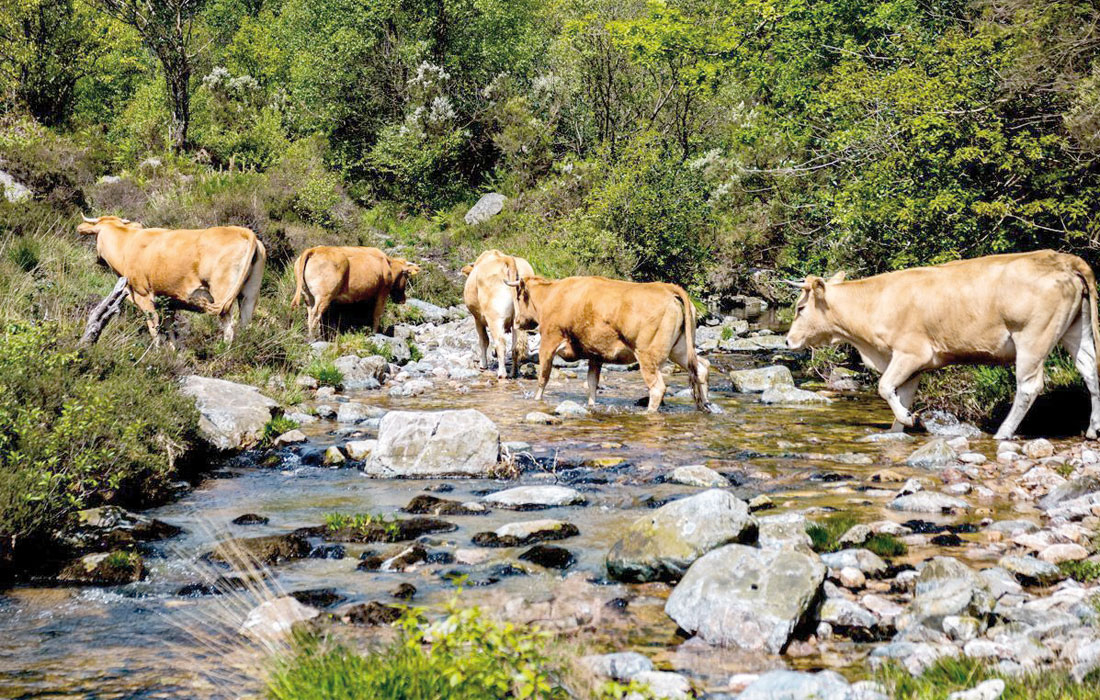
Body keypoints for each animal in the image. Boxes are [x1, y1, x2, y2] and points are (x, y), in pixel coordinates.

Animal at [77, 215, 266, 345]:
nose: (98, 259)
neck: (127, 245)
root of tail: (243, 231)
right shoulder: (169, 303)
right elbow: (170, 332)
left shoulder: (143, 296)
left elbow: (154, 330)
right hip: (250, 294)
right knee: (245, 323)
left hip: (221, 293)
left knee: (229, 325)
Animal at [291, 246, 420, 337]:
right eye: (406, 275)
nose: (403, 300)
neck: (388, 264)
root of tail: (314, 249)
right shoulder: (382, 291)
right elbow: (376, 314)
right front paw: (375, 332)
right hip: (324, 296)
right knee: (316, 314)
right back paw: (314, 338)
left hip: (307, 296)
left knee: (310, 314)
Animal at [460, 249, 535, 379]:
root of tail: (507, 259)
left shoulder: (477, 318)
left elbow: (483, 340)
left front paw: (483, 365)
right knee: (515, 346)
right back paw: (513, 372)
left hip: (494, 318)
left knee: (500, 344)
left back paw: (502, 373)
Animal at [504, 275, 716, 413]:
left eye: (518, 297)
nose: (517, 322)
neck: (552, 296)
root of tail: (666, 288)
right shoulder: (595, 354)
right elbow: (592, 383)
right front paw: (591, 405)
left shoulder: (548, 342)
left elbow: (543, 377)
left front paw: (536, 399)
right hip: (679, 348)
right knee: (701, 367)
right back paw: (705, 405)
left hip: (648, 356)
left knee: (657, 388)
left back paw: (649, 413)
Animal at [785, 251, 1100, 440]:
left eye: (800, 308)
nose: (788, 340)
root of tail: (1061, 258)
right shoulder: (913, 366)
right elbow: (900, 396)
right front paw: (900, 427)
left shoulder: (911, 354)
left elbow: (884, 387)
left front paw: (908, 420)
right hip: (1075, 330)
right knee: (1090, 372)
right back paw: (1093, 429)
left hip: (1032, 339)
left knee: (1029, 386)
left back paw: (1003, 432)